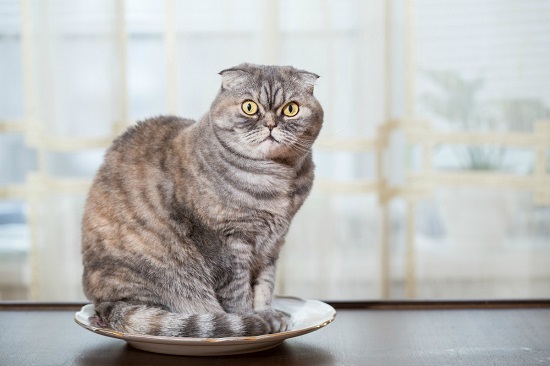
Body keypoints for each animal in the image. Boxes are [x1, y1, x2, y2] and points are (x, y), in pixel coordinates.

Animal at [80, 63, 326, 338]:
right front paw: (253, 320)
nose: (271, 124)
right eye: (249, 107)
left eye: (291, 109)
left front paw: (269, 314)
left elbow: (265, 286)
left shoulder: (272, 245)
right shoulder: (231, 243)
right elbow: (239, 293)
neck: (276, 179)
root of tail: (105, 305)